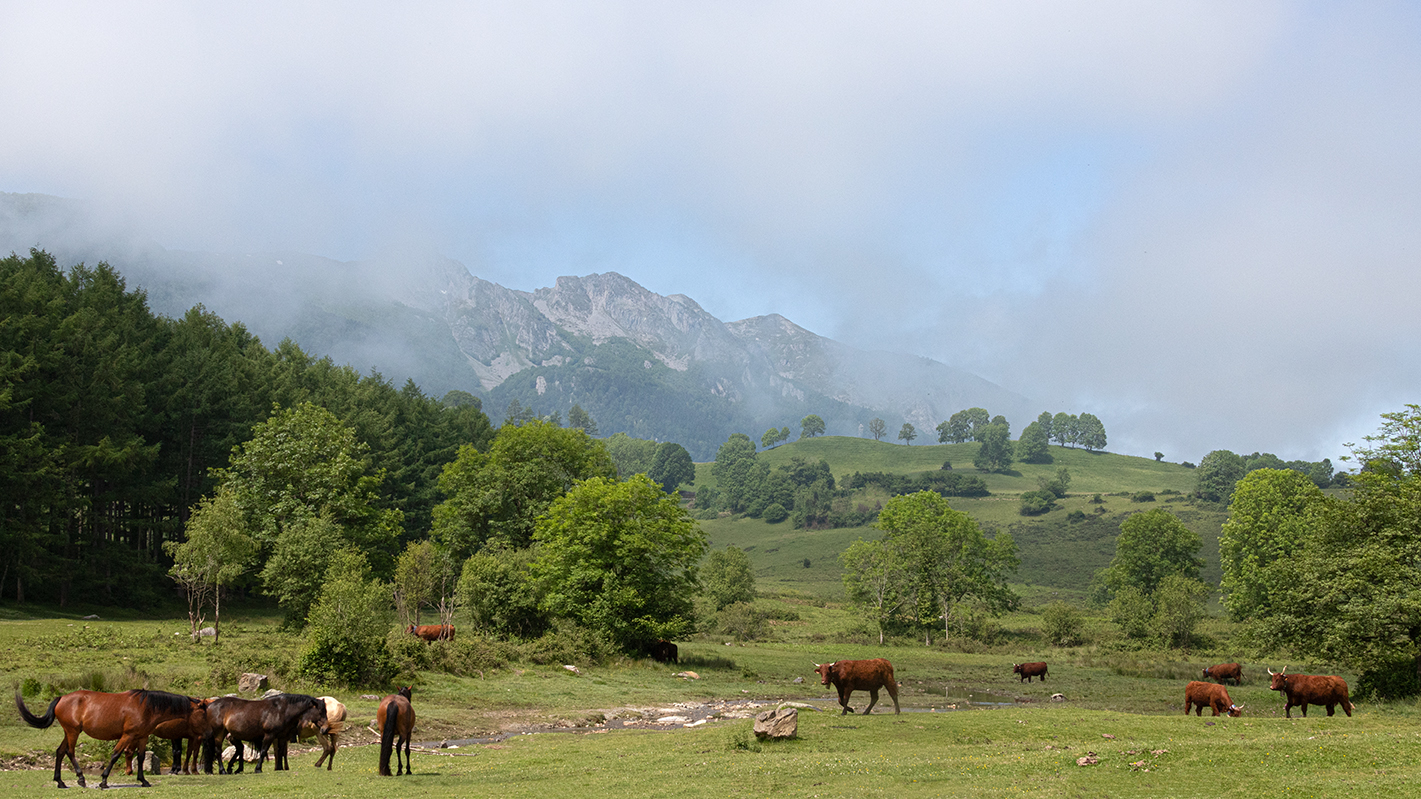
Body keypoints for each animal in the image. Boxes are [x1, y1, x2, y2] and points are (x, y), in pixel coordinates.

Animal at [15, 688, 206, 784]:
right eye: (203, 713)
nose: (206, 734)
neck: (147, 706)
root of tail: (61, 698)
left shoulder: (142, 736)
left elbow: (141, 757)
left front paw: (143, 780)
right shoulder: (127, 735)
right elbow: (115, 755)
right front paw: (104, 780)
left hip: (68, 732)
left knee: (60, 751)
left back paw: (60, 781)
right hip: (73, 732)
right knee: (70, 751)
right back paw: (81, 778)